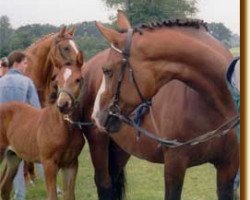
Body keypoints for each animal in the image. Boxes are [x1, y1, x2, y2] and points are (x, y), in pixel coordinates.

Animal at [0, 52, 84, 200]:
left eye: (78, 79)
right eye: (57, 80)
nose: (63, 105)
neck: (64, 127)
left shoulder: (71, 164)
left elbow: (70, 195)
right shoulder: (49, 164)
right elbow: (52, 196)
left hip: (13, 157)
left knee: (4, 188)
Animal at [91, 11, 239, 200]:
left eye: (108, 70)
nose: (96, 115)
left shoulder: (228, 168)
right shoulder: (174, 165)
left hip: (120, 150)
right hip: (98, 145)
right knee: (104, 185)